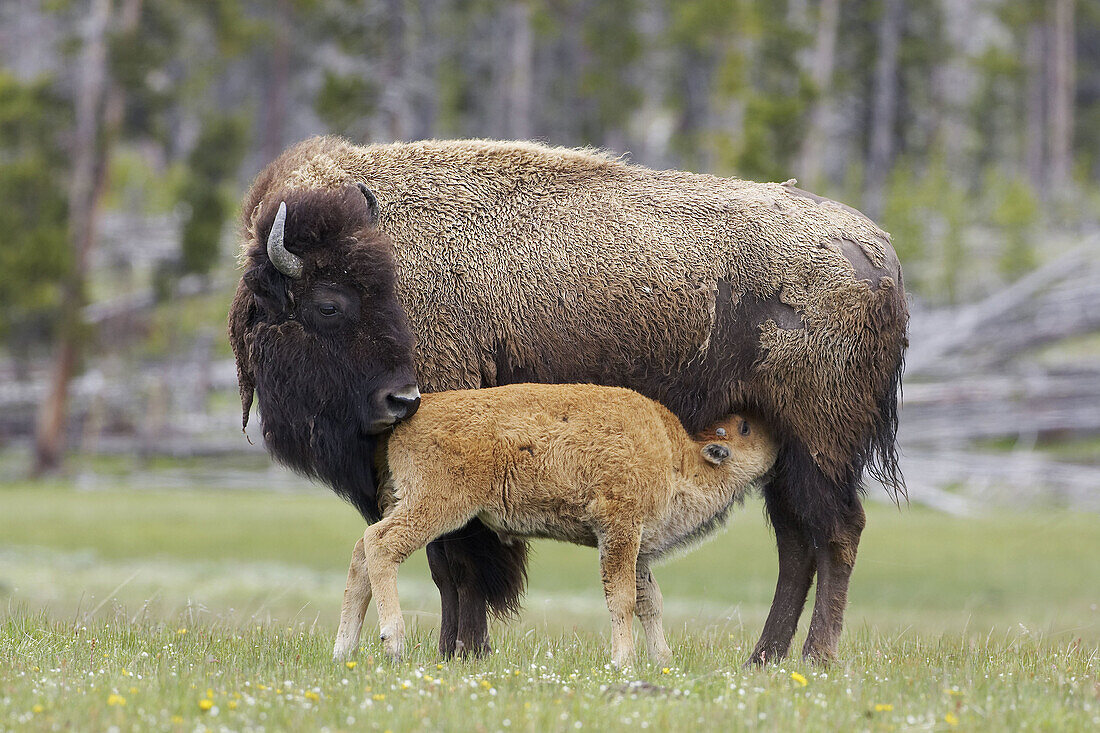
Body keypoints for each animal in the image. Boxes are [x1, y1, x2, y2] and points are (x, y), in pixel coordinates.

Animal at [330, 383, 778, 669]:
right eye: (744, 428)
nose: (776, 435)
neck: (675, 455)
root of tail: (408, 420)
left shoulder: (639, 547)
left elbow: (650, 601)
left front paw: (662, 660)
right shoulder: (618, 530)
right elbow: (622, 599)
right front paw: (623, 661)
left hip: (403, 501)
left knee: (360, 553)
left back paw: (343, 650)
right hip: (436, 506)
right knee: (381, 544)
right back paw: (393, 641)